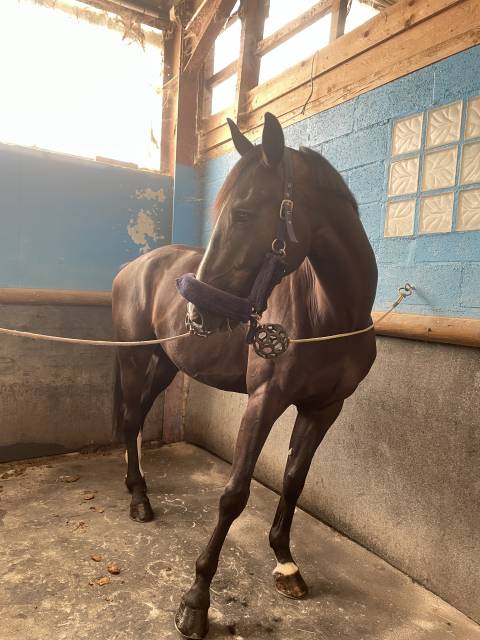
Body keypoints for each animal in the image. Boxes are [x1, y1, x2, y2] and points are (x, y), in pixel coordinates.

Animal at [112, 112, 378, 639]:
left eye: (243, 213)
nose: (196, 313)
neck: (329, 314)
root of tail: (133, 267)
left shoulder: (324, 408)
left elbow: (294, 480)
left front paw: (286, 562)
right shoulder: (264, 401)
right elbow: (234, 494)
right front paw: (195, 601)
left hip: (166, 364)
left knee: (137, 418)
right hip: (135, 359)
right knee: (131, 421)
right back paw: (139, 500)